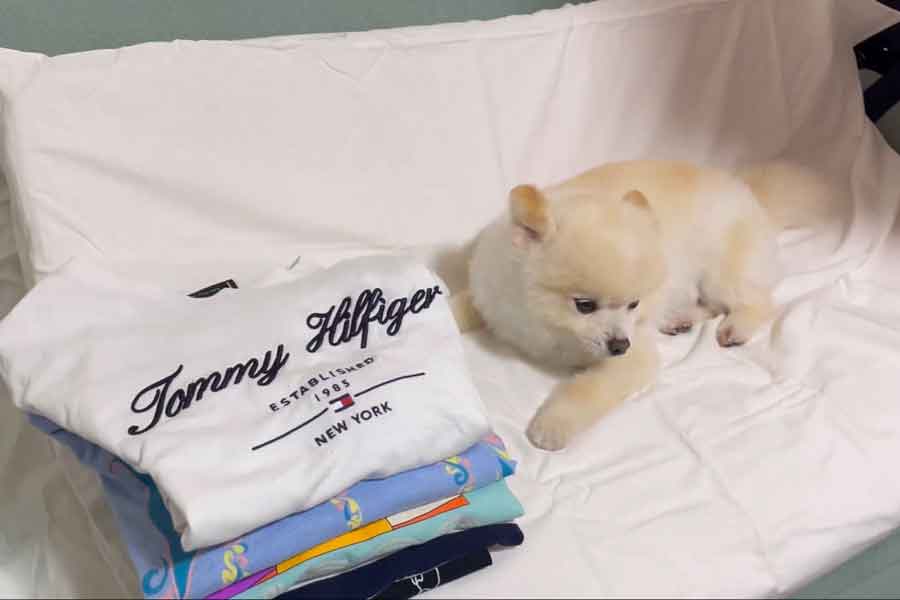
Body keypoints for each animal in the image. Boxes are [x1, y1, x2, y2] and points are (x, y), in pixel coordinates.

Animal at [451, 159, 837, 451]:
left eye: (633, 305)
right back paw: (681, 318)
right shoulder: (488, 295)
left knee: (756, 300)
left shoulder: (633, 358)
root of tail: (751, 194)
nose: (620, 344)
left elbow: (590, 389)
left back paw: (736, 326)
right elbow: (458, 304)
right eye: (584, 305)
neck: (539, 323)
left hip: (723, 274)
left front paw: (553, 423)